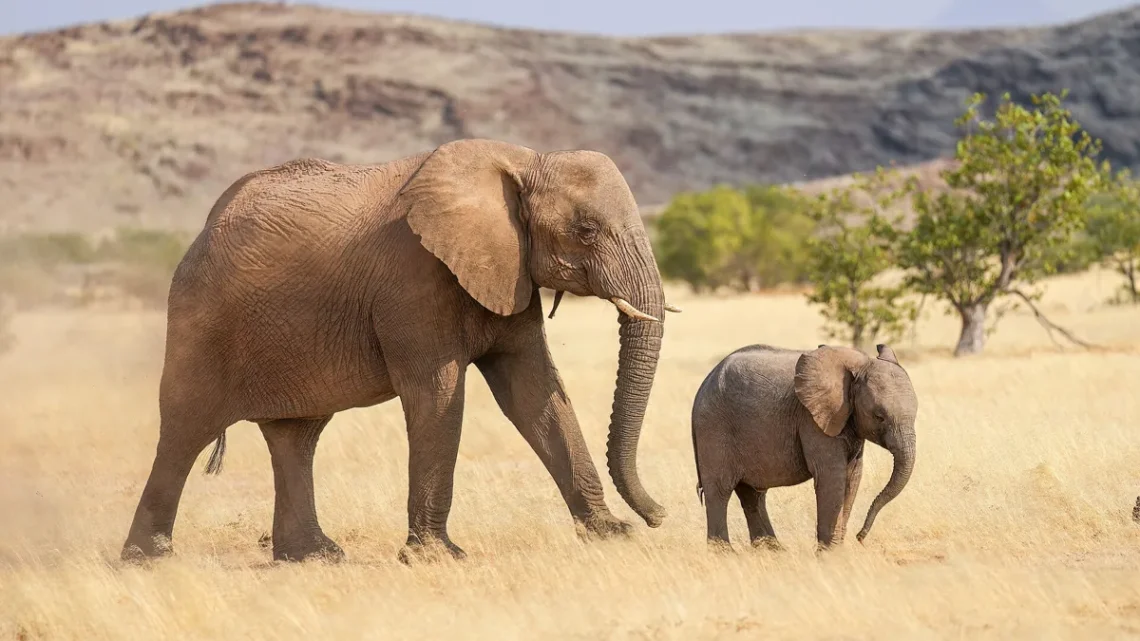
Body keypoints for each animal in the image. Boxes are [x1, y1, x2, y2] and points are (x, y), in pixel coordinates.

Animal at [120, 138, 680, 565]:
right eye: (586, 230)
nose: (661, 515)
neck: (523, 159)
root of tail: (202, 232)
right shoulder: (414, 280)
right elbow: (438, 395)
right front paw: (437, 557)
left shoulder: (508, 272)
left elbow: (534, 392)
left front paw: (611, 534)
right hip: (199, 318)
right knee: (186, 431)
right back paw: (147, 559)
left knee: (296, 437)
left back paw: (315, 556)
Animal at [691, 343, 917, 551]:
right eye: (879, 416)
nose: (860, 537)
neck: (860, 364)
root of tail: (704, 384)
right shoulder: (812, 420)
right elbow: (831, 476)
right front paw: (829, 555)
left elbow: (852, 476)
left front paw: (838, 552)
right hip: (713, 427)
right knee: (719, 490)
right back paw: (725, 553)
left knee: (752, 494)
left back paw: (772, 551)